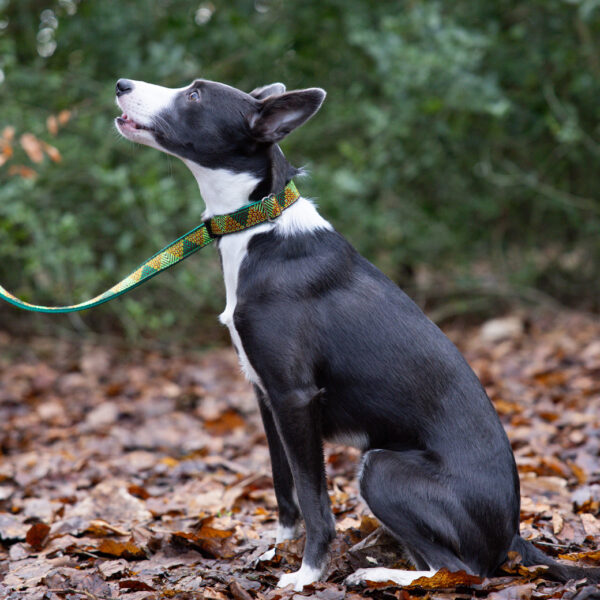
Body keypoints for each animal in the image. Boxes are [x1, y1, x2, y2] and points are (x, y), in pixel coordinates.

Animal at [113, 76, 600, 592]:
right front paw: (277, 552)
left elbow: (313, 499)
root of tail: (512, 535)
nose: (121, 84)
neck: (259, 223)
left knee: (459, 570)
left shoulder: (296, 398)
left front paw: (307, 573)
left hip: (380, 468)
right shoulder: (268, 396)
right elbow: (284, 488)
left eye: (195, 95)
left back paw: (378, 574)